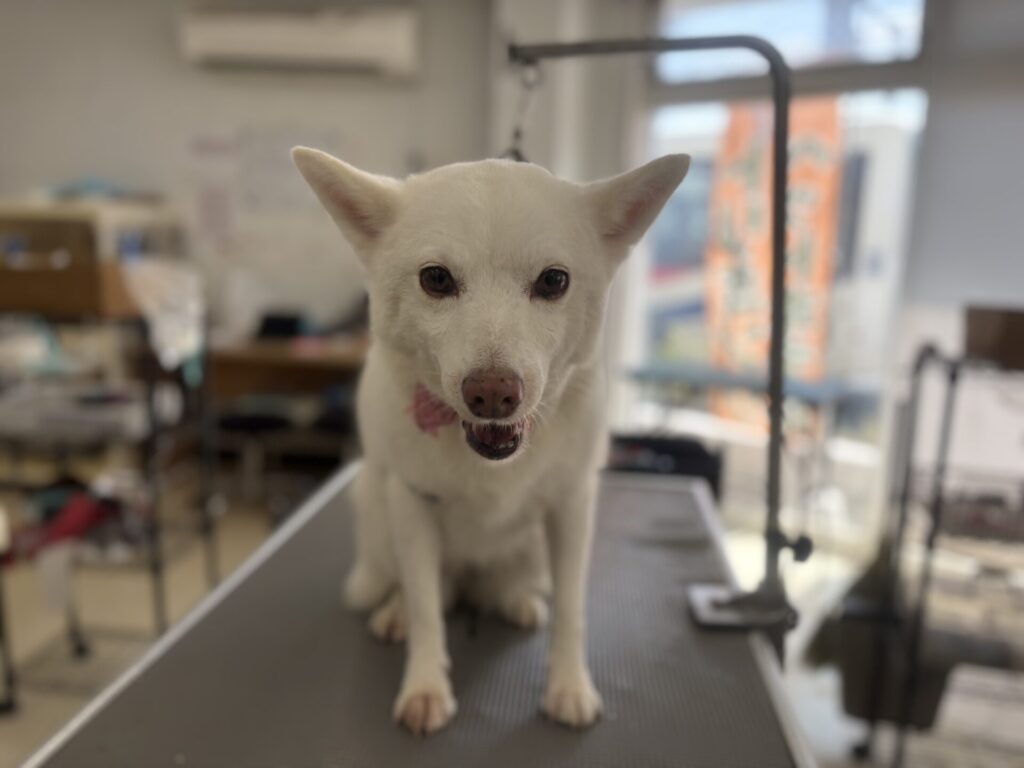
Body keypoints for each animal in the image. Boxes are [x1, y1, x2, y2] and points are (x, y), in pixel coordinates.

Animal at [293, 147, 689, 736]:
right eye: (436, 279)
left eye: (553, 281)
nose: (494, 394)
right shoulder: (412, 503)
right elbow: (426, 607)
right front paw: (425, 684)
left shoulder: (572, 506)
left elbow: (573, 608)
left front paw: (569, 685)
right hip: (376, 510)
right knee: (424, 588)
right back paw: (398, 612)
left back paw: (516, 599)